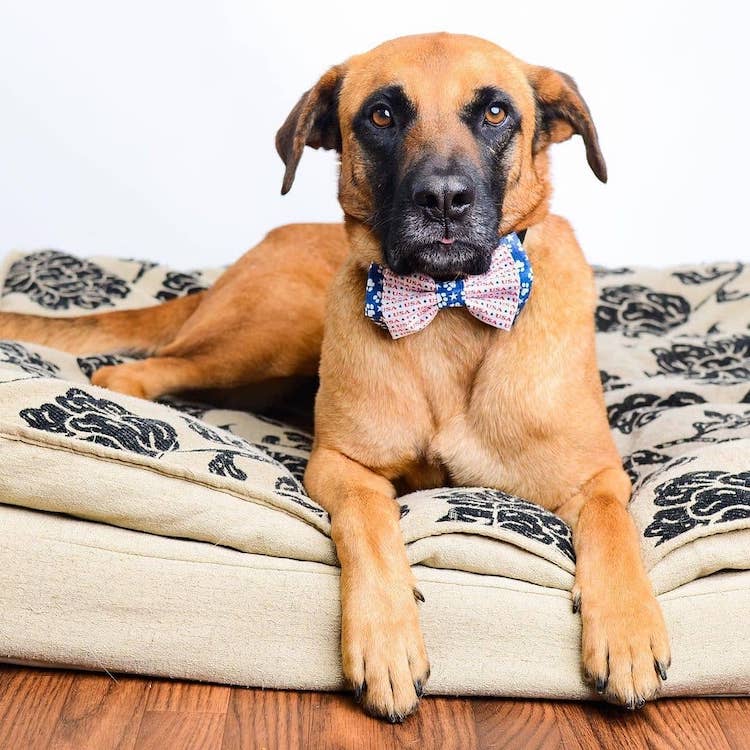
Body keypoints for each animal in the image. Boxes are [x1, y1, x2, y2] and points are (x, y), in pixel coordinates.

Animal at [0, 33, 668, 724]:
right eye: (382, 115)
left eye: (494, 112)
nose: (442, 200)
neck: (447, 307)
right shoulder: (342, 464)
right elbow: (372, 527)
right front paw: (387, 643)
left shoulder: (597, 477)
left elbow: (613, 528)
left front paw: (628, 632)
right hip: (267, 335)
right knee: (139, 367)